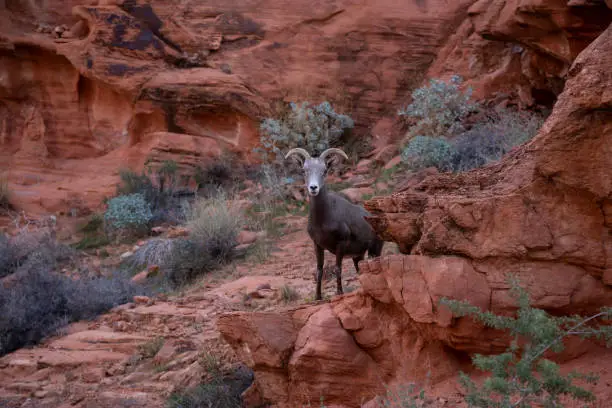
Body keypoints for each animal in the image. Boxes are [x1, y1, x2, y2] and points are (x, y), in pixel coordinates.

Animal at [284, 147, 380, 300]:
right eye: (304, 170)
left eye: (324, 171)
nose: (313, 188)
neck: (323, 221)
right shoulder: (317, 245)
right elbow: (319, 270)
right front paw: (317, 297)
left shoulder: (340, 244)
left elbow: (337, 269)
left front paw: (339, 293)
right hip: (358, 256)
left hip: (375, 250)